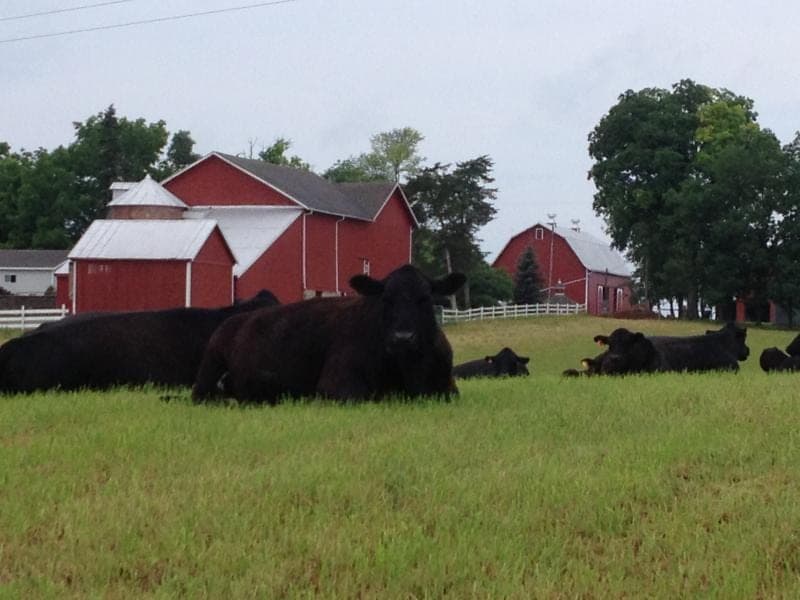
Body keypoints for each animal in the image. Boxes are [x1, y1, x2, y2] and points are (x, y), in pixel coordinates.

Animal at [192, 264, 466, 404]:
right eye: (386, 299)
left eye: (425, 298)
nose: (403, 338)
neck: (407, 371)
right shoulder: (336, 385)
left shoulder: (448, 388)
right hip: (208, 370)